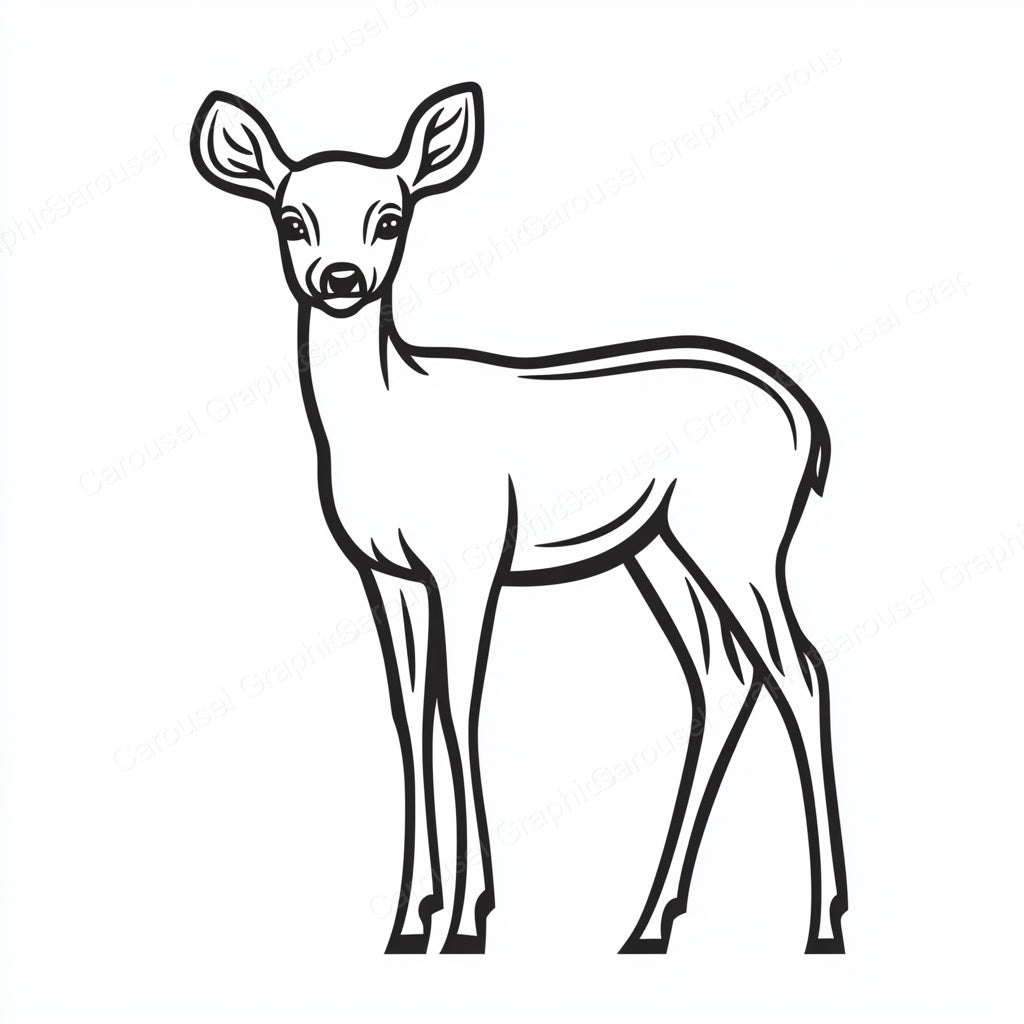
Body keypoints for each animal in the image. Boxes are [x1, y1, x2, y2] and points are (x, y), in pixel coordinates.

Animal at [191, 82, 848, 955]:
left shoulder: (468, 562)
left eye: (391, 217)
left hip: (741, 539)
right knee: (724, 675)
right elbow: (410, 716)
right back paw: (648, 923)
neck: (390, 419)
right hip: (660, 548)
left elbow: (461, 710)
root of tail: (805, 416)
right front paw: (408, 922)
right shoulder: (387, 576)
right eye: (290, 218)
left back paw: (823, 923)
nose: (341, 278)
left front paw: (469, 918)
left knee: (800, 672)